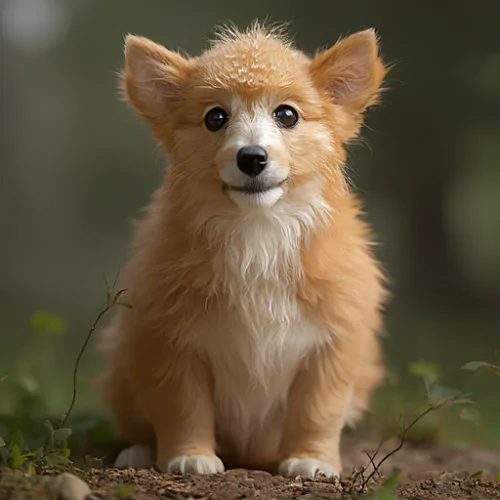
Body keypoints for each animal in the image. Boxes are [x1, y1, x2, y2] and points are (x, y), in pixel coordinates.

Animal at [97, 21, 386, 478]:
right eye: (215, 117)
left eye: (287, 114)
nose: (252, 158)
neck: (258, 231)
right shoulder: (168, 342)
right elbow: (182, 406)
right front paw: (190, 456)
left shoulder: (332, 345)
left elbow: (318, 411)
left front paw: (312, 460)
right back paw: (139, 452)